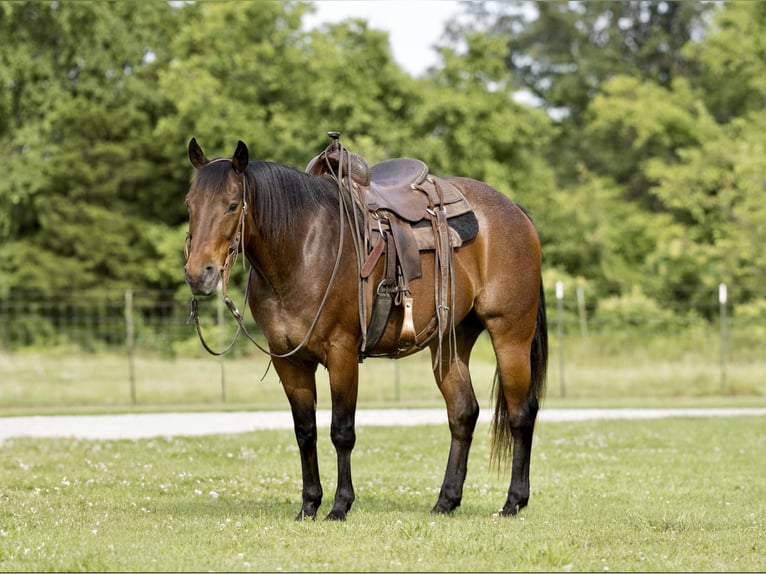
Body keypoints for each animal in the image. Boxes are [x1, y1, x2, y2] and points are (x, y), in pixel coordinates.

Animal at [184, 138, 548, 520]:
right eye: (189, 203)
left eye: (232, 205)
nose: (198, 274)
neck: (303, 248)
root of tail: (515, 210)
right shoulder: (289, 360)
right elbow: (305, 431)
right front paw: (309, 505)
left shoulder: (342, 353)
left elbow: (342, 431)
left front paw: (340, 505)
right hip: (450, 342)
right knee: (463, 412)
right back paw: (446, 501)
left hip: (510, 336)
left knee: (521, 413)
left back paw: (513, 500)